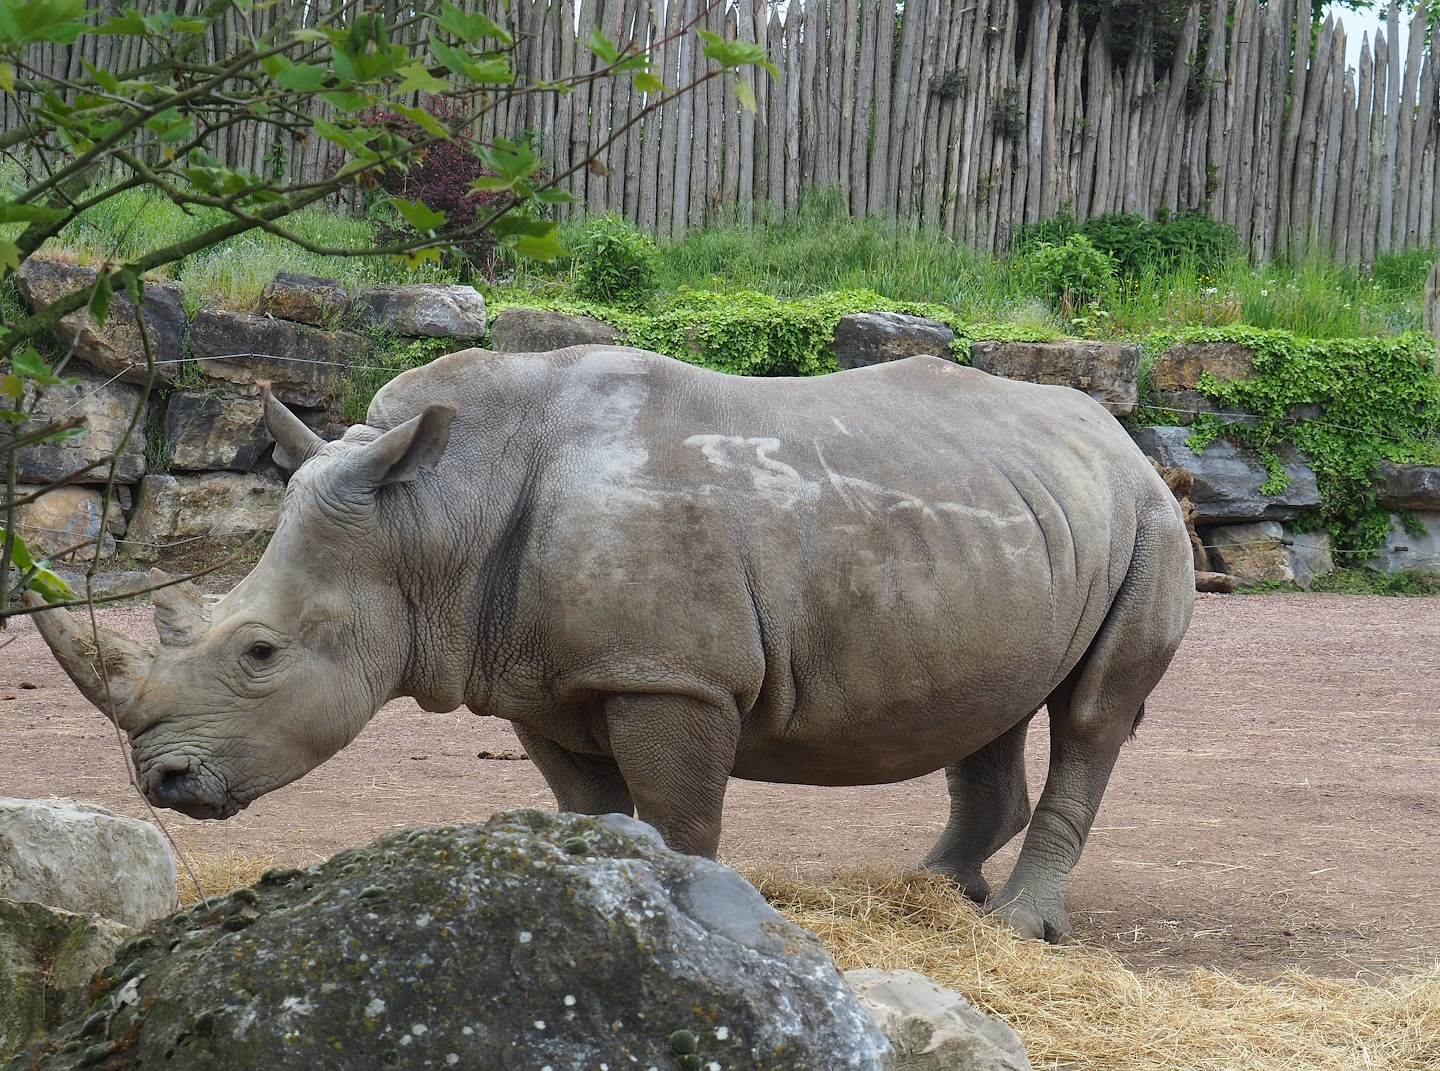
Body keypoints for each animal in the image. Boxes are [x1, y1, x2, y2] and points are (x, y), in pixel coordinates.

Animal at [28, 346, 1194, 941]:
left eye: (260, 654)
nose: (163, 782)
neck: (428, 518)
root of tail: (1113, 431)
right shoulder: (540, 680)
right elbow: (590, 807)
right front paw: (599, 897)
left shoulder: (673, 679)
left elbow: (680, 817)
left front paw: (702, 917)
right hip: (1015, 516)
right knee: (991, 701)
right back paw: (934, 893)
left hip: (1148, 518)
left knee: (1093, 712)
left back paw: (1015, 931)